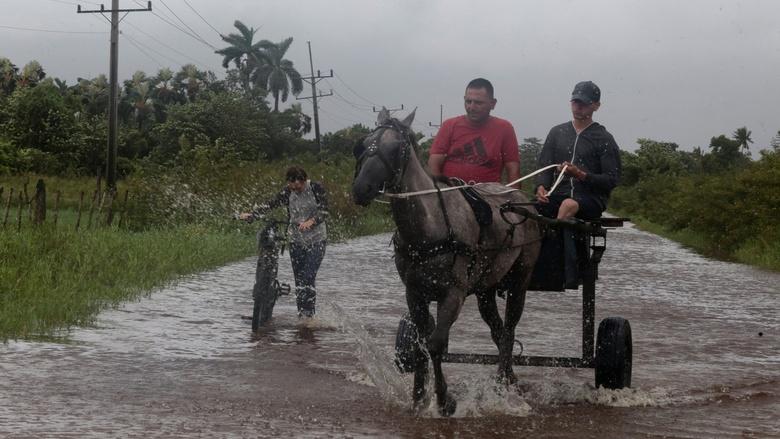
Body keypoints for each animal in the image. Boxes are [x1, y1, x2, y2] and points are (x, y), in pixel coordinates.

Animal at [354, 107, 544, 416]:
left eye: (397, 148)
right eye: (362, 144)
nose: (361, 188)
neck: (429, 228)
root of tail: (517, 197)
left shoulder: (453, 294)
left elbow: (435, 344)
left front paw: (445, 400)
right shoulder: (414, 294)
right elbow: (420, 345)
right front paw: (419, 398)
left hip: (520, 280)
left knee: (509, 330)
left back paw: (502, 384)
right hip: (485, 289)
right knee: (498, 331)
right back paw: (510, 378)